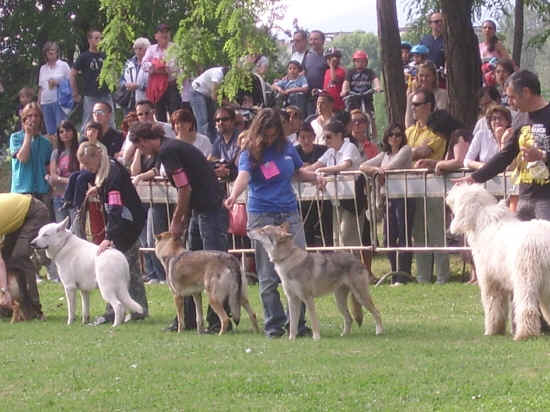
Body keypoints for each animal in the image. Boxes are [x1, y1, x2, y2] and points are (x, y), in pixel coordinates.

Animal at [250, 224, 384, 340]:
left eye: (263, 231)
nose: (248, 230)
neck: (287, 259)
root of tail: (357, 259)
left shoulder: (308, 299)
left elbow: (314, 321)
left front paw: (316, 338)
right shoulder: (292, 299)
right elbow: (293, 325)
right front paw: (291, 340)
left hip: (361, 296)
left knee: (377, 312)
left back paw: (379, 332)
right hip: (339, 302)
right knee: (349, 318)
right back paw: (344, 335)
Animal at [448, 184, 550, 342]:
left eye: (461, 191)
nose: (450, 191)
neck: (483, 224)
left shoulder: (490, 281)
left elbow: (493, 306)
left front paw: (492, 330)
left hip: (526, 278)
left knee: (527, 308)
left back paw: (524, 334)